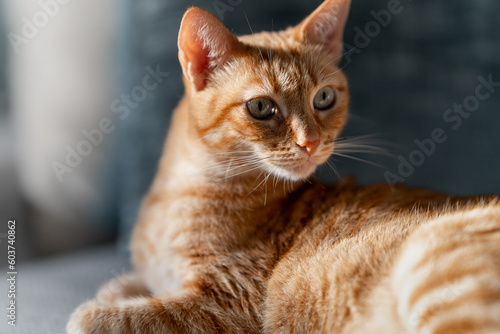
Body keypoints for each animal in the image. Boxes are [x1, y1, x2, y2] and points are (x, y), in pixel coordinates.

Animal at [67, 1, 500, 332]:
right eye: (261, 106)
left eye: (323, 98)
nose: (309, 142)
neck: (179, 193)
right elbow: (129, 282)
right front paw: (119, 288)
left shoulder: (226, 302)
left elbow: (128, 315)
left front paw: (95, 312)